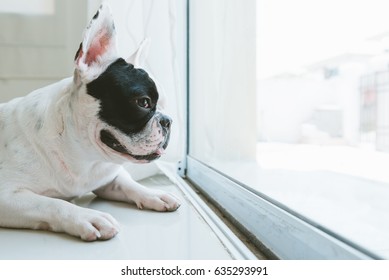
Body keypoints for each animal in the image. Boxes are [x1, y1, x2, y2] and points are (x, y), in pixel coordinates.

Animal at [0, 2, 180, 241]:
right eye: (143, 102)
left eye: (165, 105)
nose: (168, 121)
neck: (81, 153)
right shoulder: (7, 195)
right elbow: (51, 203)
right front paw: (87, 217)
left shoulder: (107, 177)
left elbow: (126, 182)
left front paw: (154, 194)